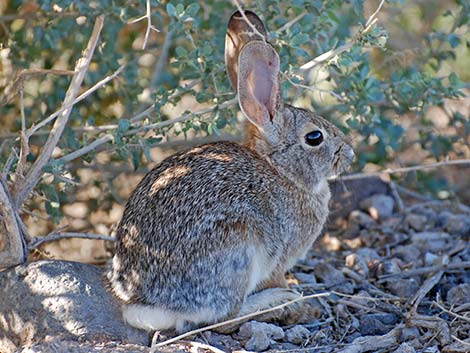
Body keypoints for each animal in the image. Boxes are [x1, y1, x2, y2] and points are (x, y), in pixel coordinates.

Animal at [109, 8, 352, 332]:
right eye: (315, 137)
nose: (349, 153)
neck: (280, 170)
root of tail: (148, 304)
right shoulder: (277, 259)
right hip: (238, 247)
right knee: (226, 319)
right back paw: (279, 303)